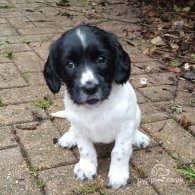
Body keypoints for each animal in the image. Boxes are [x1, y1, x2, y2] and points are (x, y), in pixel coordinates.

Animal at [43, 24, 149, 189]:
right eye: (70, 64)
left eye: (101, 59)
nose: (90, 88)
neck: (96, 109)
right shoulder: (80, 127)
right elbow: (85, 149)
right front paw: (86, 168)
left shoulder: (125, 126)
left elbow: (120, 151)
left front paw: (118, 176)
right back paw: (69, 137)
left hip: (136, 112)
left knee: (135, 127)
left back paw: (138, 137)